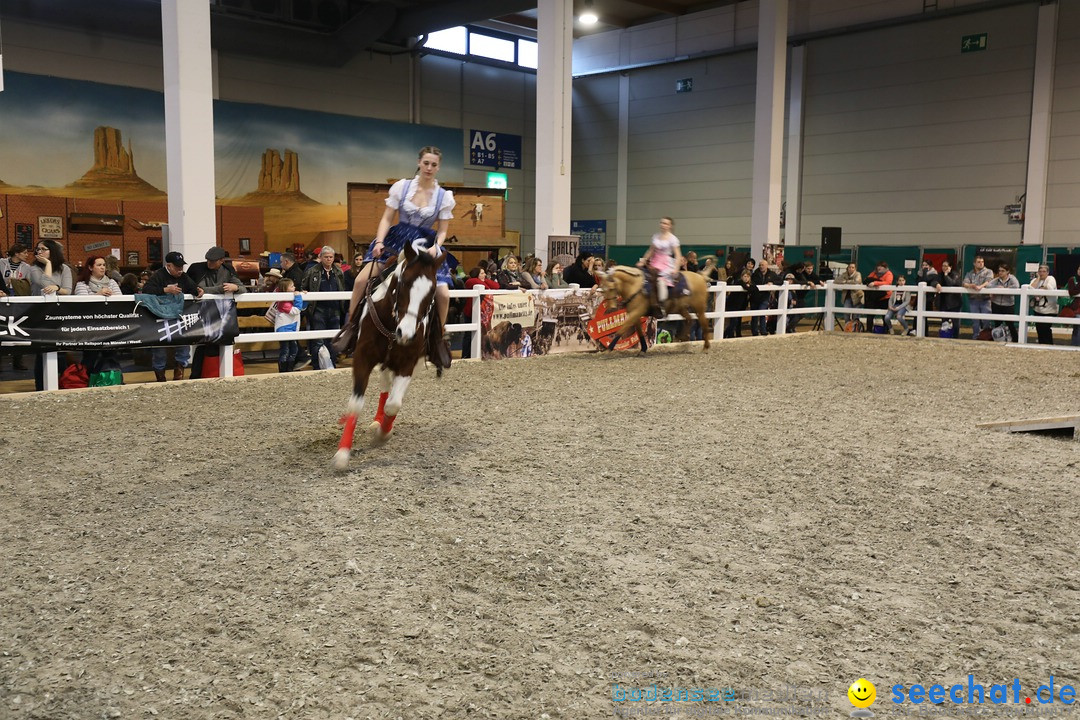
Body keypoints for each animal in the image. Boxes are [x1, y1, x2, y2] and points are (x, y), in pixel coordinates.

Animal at [334, 239, 440, 470]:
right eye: (404, 283)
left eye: (431, 292)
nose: (406, 334)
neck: (393, 324)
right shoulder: (363, 358)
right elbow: (356, 403)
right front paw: (342, 454)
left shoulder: (408, 364)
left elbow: (394, 404)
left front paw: (384, 433)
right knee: (384, 385)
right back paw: (376, 419)